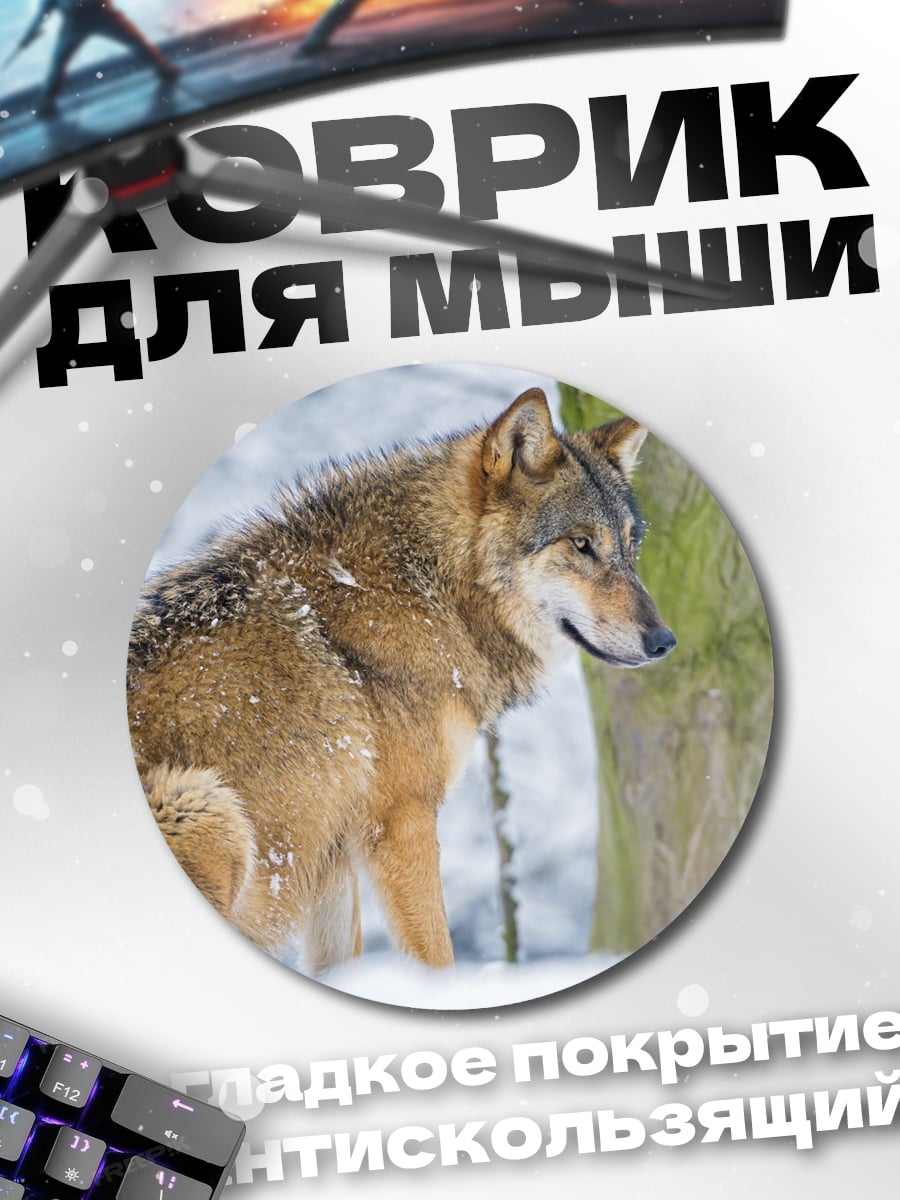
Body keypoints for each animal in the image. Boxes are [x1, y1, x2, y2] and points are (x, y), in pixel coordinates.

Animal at [127, 388, 675, 974]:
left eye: (630, 546)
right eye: (581, 543)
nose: (665, 641)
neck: (429, 587)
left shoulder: (333, 855)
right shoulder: (402, 819)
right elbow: (438, 956)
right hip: (206, 804)